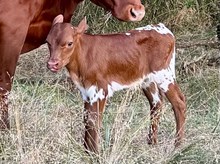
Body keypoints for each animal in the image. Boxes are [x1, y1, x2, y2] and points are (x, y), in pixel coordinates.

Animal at [46, 14, 186, 153]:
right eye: (48, 42)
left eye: (69, 43)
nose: (52, 64)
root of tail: (162, 28)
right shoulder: (85, 91)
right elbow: (87, 119)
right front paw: (86, 151)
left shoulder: (100, 90)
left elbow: (94, 121)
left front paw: (95, 153)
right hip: (147, 79)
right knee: (156, 103)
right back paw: (151, 144)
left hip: (164, 74)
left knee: (179, 102)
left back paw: (177, 146)